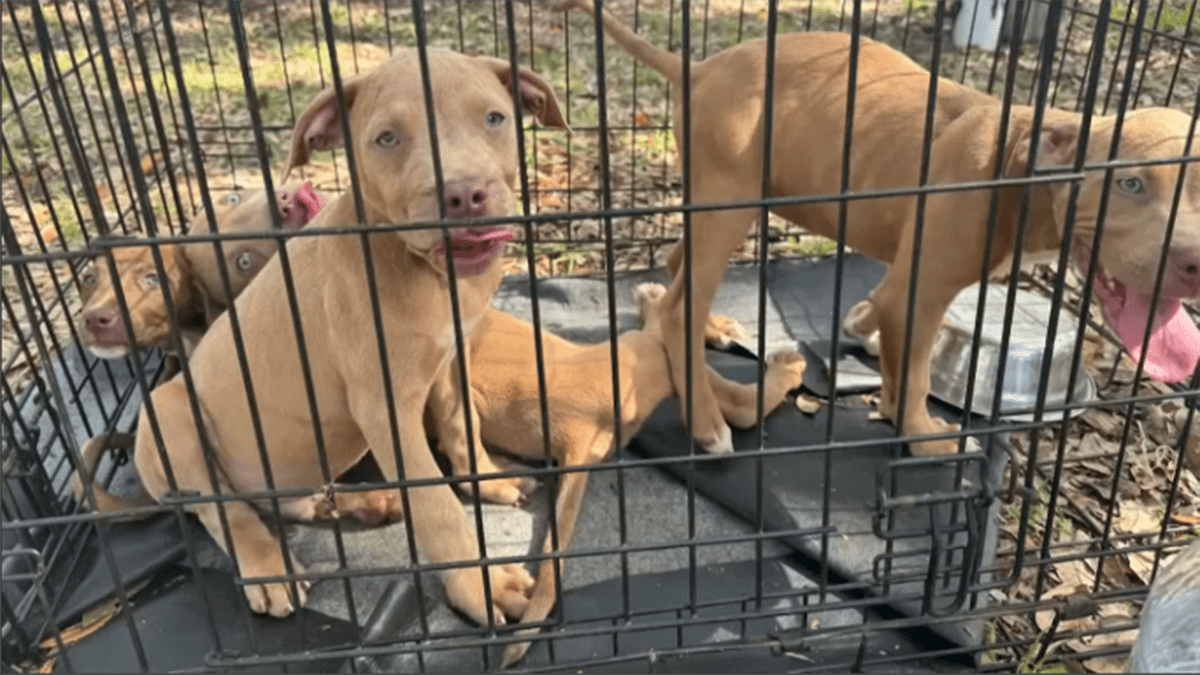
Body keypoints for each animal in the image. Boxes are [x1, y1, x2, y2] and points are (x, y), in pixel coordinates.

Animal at [126, 48, 571, 624]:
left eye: (494, 118)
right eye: (387, 138)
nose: (465, 194)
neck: (422, 270)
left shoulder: (450, 362)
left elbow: (461, 425)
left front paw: (489, 477)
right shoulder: (385, 408)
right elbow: (436, 504)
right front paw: (480, 585)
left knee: (290, 502)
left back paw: (365, 502)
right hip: (168, 417)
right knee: (227, 512)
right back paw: (270, 568)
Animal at [552, 0, 1200, 454]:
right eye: (1131, 184)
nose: (1194, 264)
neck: (1020, 166)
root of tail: (700, 66)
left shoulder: (906, 282)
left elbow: (889, 341)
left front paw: (869, 349)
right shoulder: (921, 288)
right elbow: (913, 374)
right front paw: (924, 435)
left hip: (716, 202)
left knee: (675, 269)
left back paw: (710, 327)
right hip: (729, 201)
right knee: (678, 308)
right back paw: (709, 420)